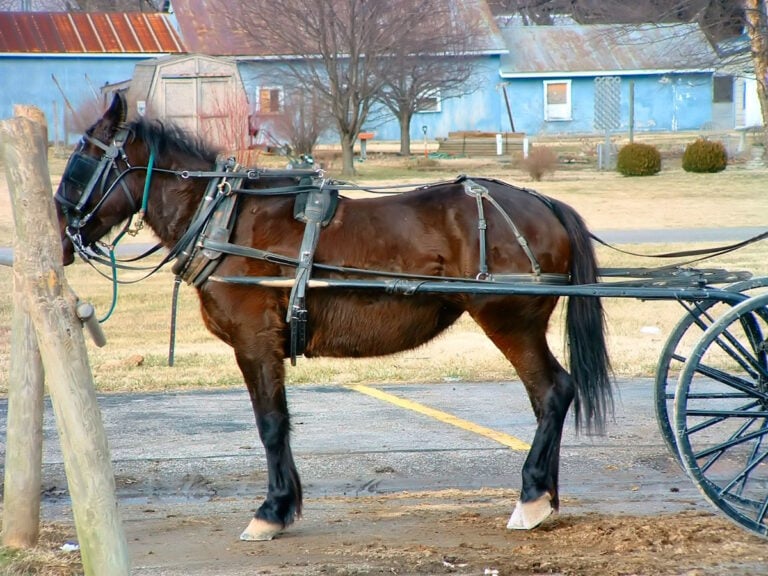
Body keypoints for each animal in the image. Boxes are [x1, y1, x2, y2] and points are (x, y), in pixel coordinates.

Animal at [55, 92, 612, 541]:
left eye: (82, 160)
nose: (59, 230)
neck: (225, 217)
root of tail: (545, 203)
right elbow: (276, 422)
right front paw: (283, 506)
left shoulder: (255, 341)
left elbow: (271, 423)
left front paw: (272, 511)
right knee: (549, 397)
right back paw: (546, 497)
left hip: (509, 321)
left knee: (552, 392)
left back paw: (532, 497)